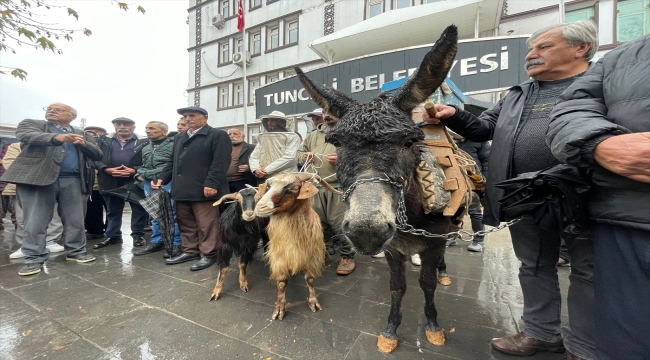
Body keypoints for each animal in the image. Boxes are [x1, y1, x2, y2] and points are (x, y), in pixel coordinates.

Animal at [254, 173, 342, 320]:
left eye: (294, 188)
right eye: (268, 186)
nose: (260, 207)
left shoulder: (311, 257)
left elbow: (310, 280)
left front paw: (313, 303)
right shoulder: (279, 258)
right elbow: (282, 283)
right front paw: (279, 309)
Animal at [296, 25, 458, 352]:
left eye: (410, 141)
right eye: (336, 142)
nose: (366, 230)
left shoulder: (433, 243)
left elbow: (427, 284)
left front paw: (433, 327)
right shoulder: (394, 247)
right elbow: (397, 287)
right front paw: (390, 330)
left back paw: (444, 273)